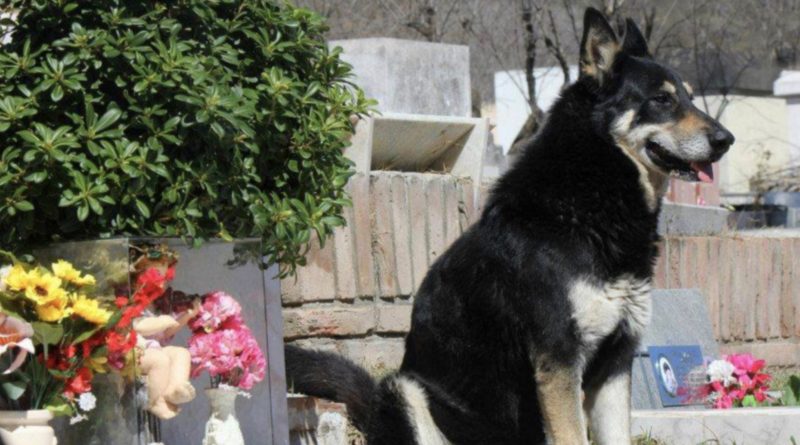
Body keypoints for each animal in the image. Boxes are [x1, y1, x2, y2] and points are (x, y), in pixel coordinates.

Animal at [284, 7, 736, 444]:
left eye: (690, 98)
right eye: (661, 99)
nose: (726, 140)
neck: (591, 197)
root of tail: (372, 410)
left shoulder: (616, 361)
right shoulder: (559, 359)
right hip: (406, 390)